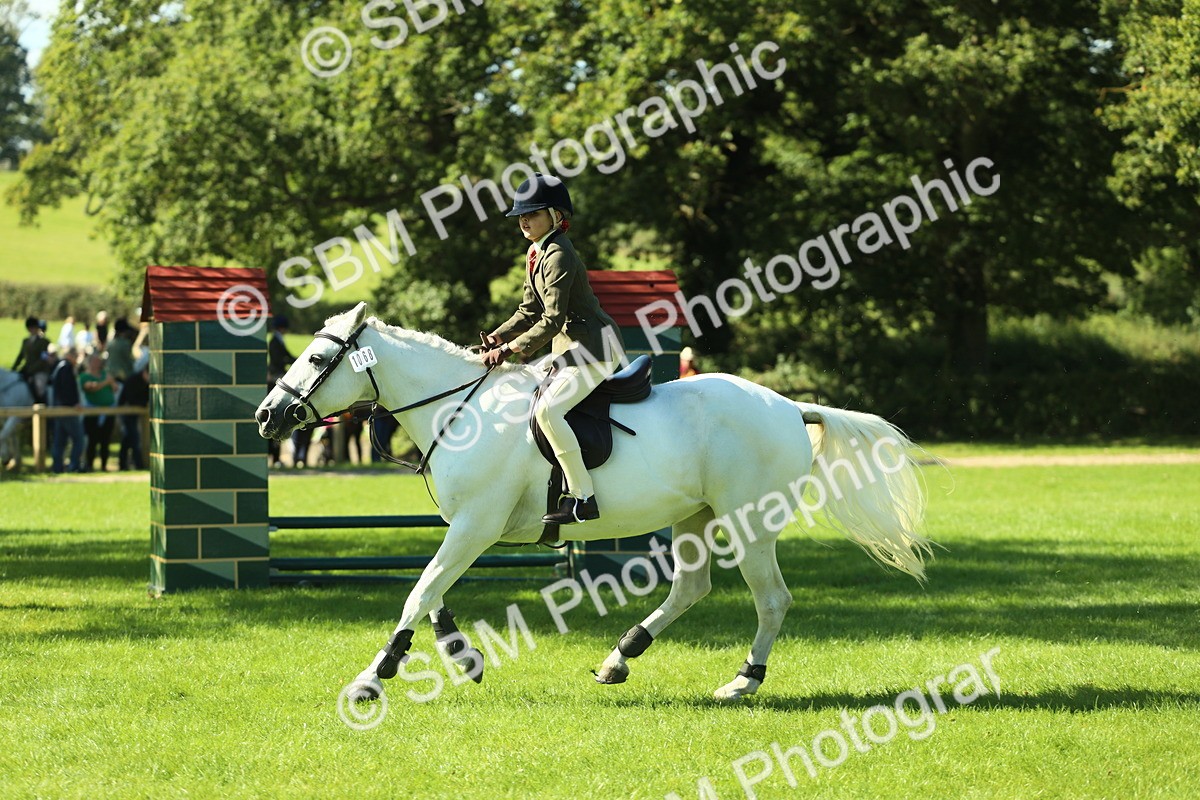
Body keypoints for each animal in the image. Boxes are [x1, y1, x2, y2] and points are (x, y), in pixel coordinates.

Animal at [254, 302, 933, 703]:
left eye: (318, 356)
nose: (266, 417)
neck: (459, 408)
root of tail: (790, 406)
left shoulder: (476, 525)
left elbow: (419, 593)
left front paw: (373, 678)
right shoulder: (466, 528)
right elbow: (434, 593)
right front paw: (463, 657)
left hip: (748, 525)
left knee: (772, 600)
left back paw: (742, 680)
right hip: (692, 518)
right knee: (691, 588)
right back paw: (618, 660)